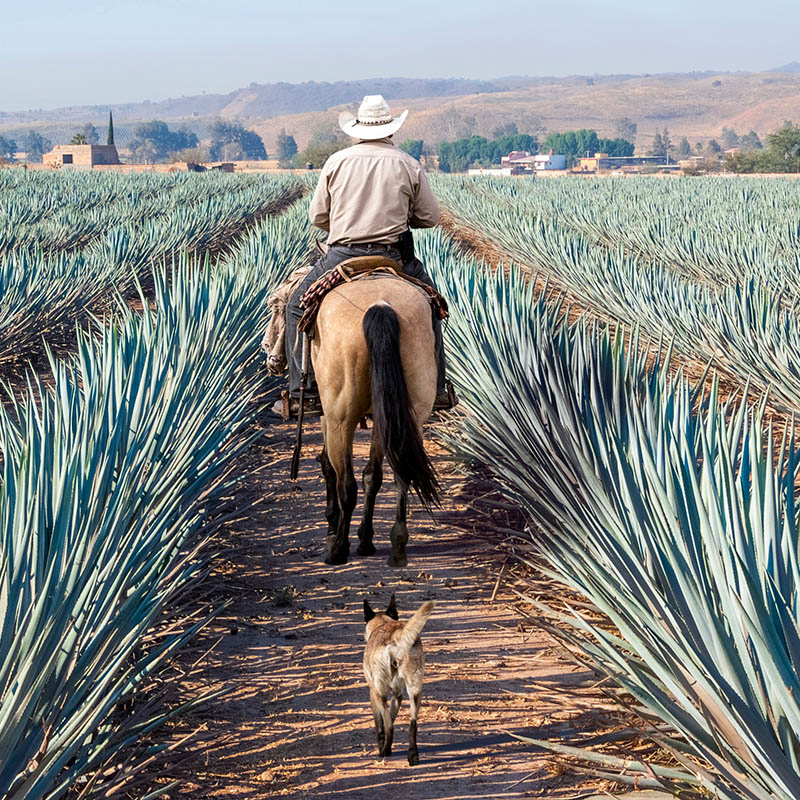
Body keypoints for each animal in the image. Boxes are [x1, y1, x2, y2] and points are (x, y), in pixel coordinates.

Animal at [310, 278, 438, 564]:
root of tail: (380, 305)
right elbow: (373, 476)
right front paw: (364, 539)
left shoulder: (327, 414)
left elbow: (328, 466)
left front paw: (332, 526)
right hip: (405, 411)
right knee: (399, 473)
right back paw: (396, 544)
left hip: (341, 416)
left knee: (347, 483)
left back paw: (337, 550)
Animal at [364, 592, 434, 764]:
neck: (383, 623)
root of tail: (396, 636)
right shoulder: (398, 695)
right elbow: (391, 716)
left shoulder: (373, 693)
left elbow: (381, 725)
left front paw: (383, 745)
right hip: (415, 692)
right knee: (412, 723)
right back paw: (413, 755)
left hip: (380, 693)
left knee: (389, 726)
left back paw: (384, 751)